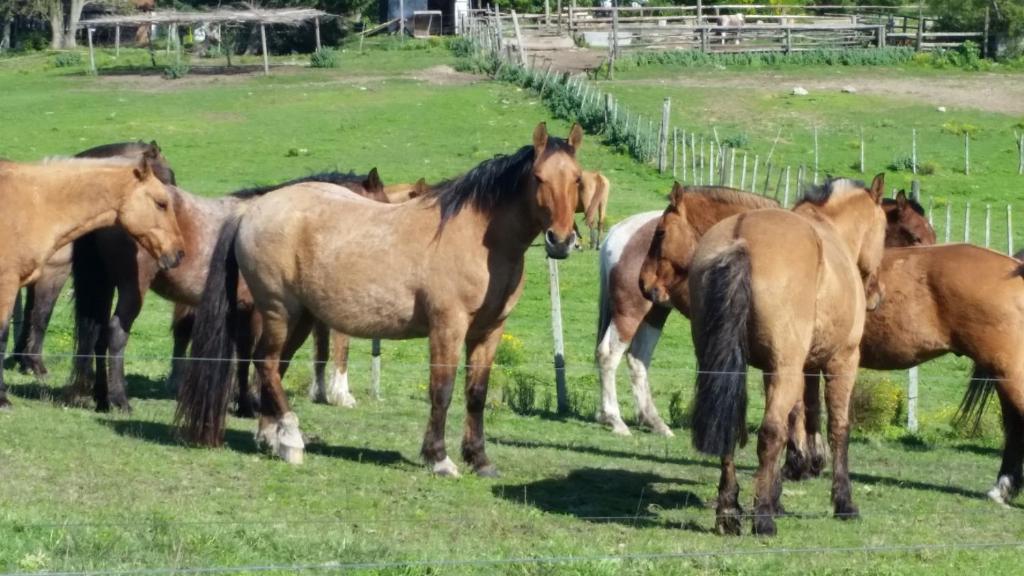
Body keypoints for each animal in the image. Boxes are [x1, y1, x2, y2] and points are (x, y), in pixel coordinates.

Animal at [68, 168, 385, 409]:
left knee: (97, 337)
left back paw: (101, 398)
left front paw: (242, 400)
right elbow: (253, 353)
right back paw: (120, 399)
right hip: (132, 290)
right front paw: (251, 401)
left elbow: (242, 353)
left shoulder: (243, 310)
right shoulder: (258, 311)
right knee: (115, 334)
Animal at [178, 121, 585, 475]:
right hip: (280, 311)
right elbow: (442, 390)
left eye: (577, 179)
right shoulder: (447, 327)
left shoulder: (489, 331)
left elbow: (476, 393)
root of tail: (253, 209)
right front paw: (439, 458)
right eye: (538, 178)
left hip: (302, 317)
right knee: (265, 362)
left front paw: (480, 460)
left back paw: (271, 437)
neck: (478, 238)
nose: (561, 240)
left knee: (275, 367)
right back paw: (291, 439)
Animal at [593, 183, 774, 434]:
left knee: (638, 359)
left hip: (654, 314)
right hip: (629, 313)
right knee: (608, 355)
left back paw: (653, 421)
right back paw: (615, 419)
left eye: (661, 233)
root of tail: (617, 231)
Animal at [638, 174, 888, 532]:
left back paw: (730, 511)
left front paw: (785, 483)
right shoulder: (840, 361)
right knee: (770, 431)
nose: (643, 284)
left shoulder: (788, 368)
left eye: (659, 233)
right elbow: (837, 427)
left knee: (734, 429)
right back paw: (763, 519)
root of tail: (740, 239)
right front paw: (842, 501)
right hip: (790, 367)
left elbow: (800, 416)